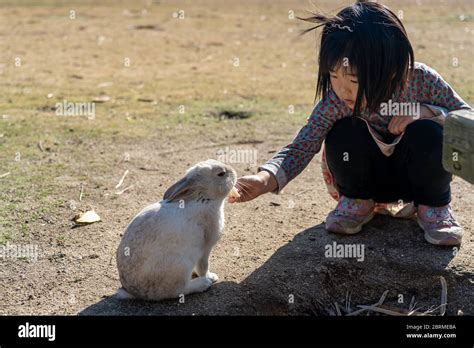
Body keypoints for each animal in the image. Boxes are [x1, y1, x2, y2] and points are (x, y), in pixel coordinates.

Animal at [115, 159, 237, 300]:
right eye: (221, 174)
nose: (234, 172)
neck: (203, 199)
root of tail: (135, 292)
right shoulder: (205, 248)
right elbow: (203, 267)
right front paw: (211, 276)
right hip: (180, 265)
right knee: (177, 290)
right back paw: (204, 283)